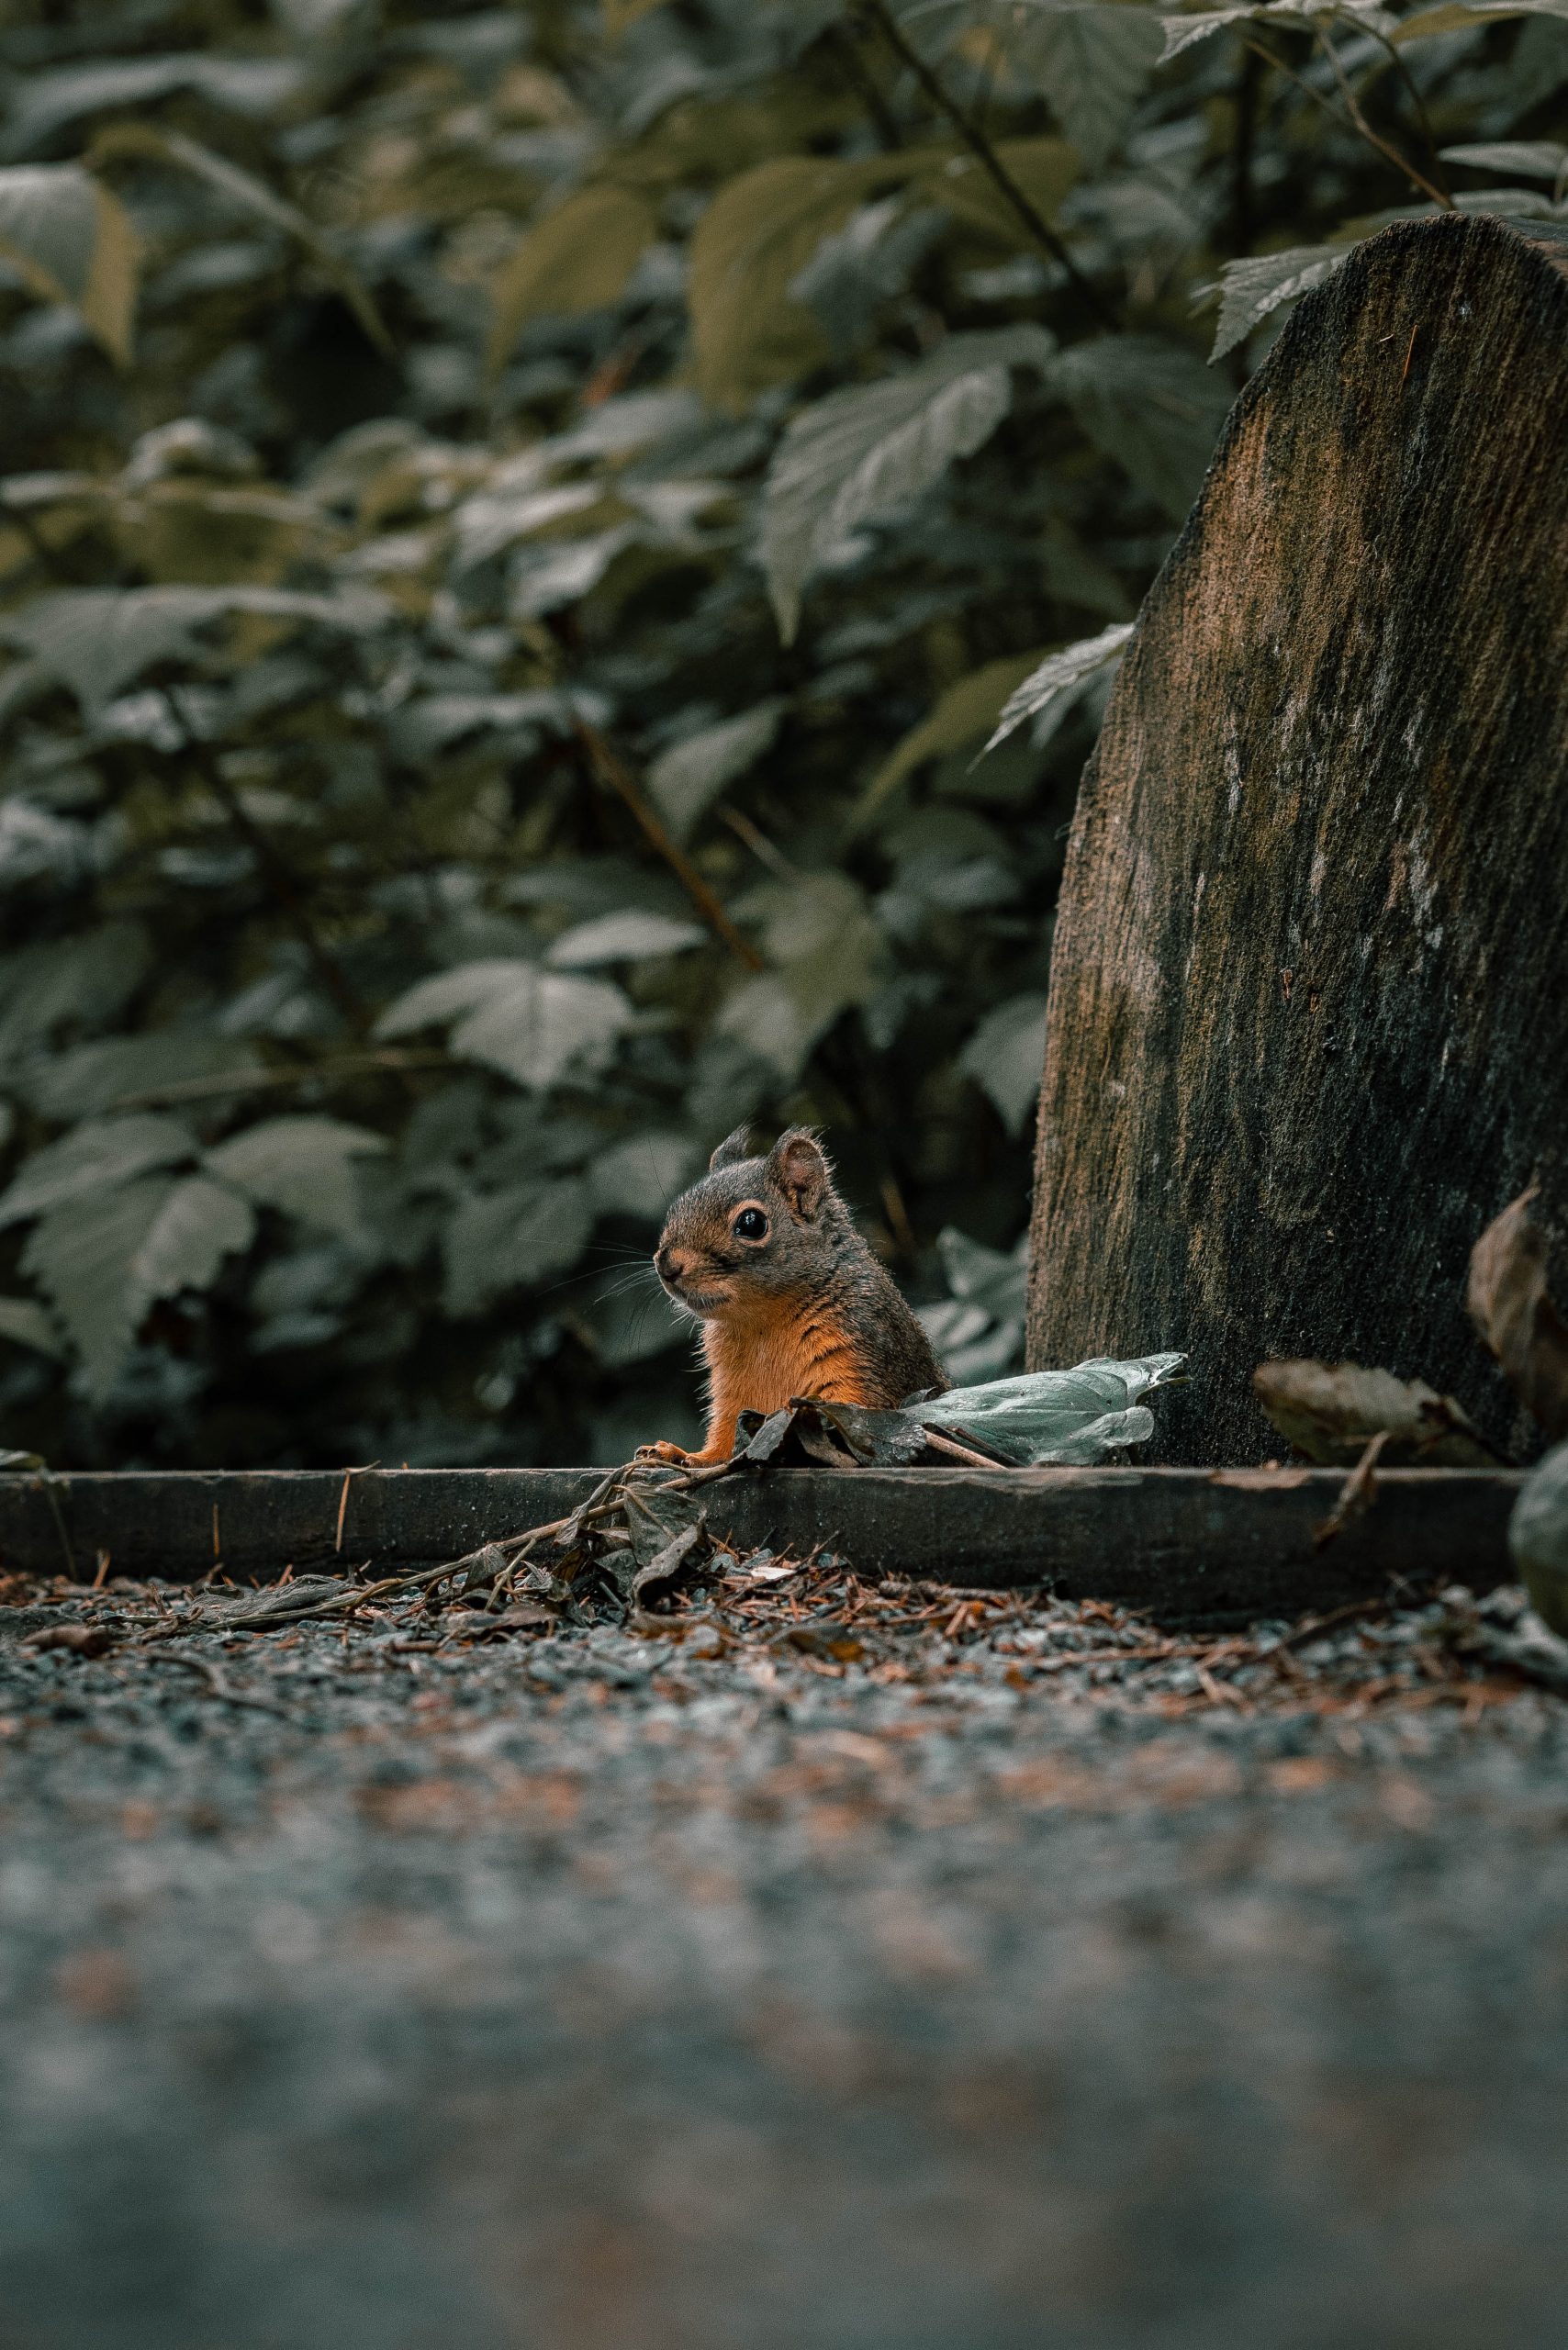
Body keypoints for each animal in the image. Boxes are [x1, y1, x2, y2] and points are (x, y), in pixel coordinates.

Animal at [639, 1123, 945, 1466]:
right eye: (677, 1208)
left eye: (751, 1223)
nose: (667, 1266)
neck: (762, 1321)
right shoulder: (731, 1389)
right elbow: (725, 1439)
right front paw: (681, 1455)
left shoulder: (862, 1349)